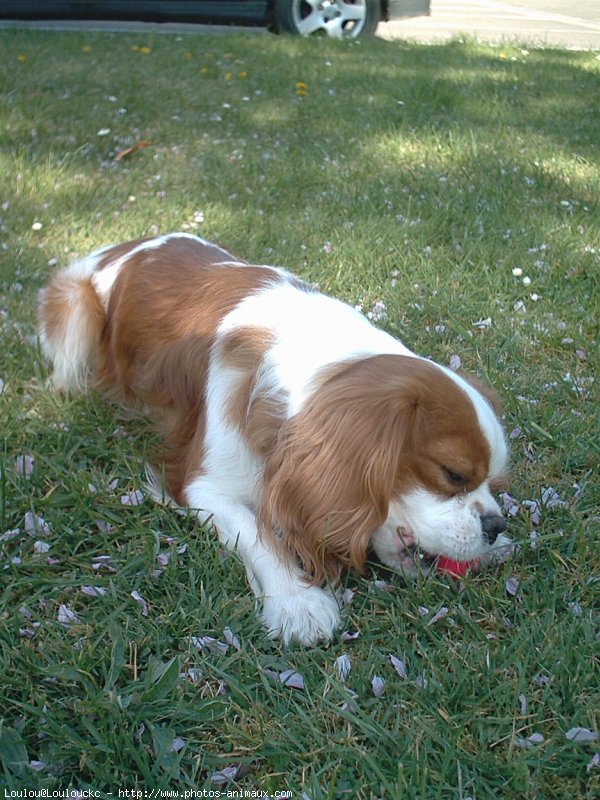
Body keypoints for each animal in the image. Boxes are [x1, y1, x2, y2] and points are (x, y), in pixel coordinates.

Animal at [38, 234, 510, 648]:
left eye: (494, 484)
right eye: (452, 474)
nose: (496, 525)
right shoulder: (200, 483)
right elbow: (255, 532)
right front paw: (296, 599)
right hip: (75, 307)